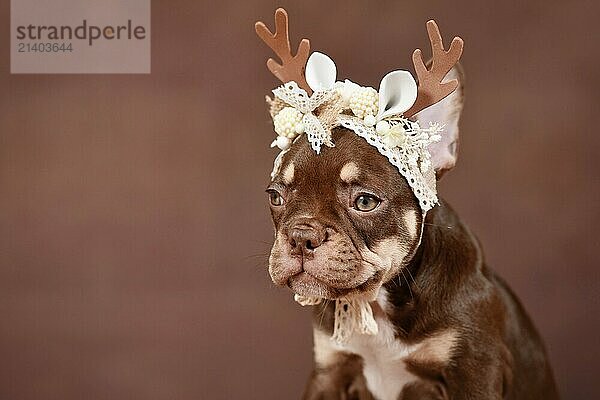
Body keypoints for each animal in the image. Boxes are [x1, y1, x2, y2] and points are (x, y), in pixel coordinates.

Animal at [264, 67, 560, 398]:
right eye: (275, 197)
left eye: (365, 201)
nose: (301, 236)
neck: (378, 303)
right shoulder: (330, 371)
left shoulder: (475, 371)